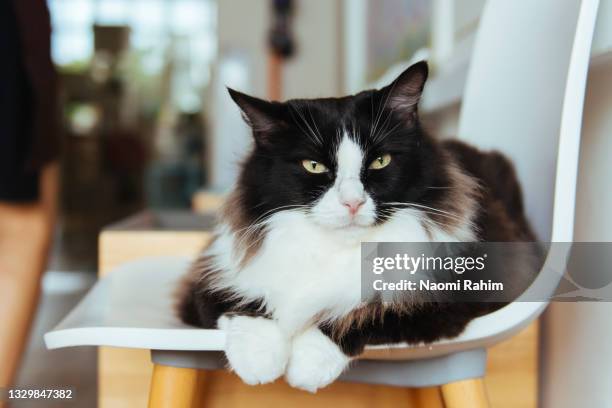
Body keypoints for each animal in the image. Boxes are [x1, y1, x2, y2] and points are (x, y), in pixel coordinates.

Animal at [177, 60, 536, 392]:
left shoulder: (454, 292)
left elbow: (360, 314)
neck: (337, 251)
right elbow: (244, 304)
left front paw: (306, 366)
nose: (352, 203)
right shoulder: (207, 278)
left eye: (380, 161)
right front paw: (259, 361)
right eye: (314, 165)